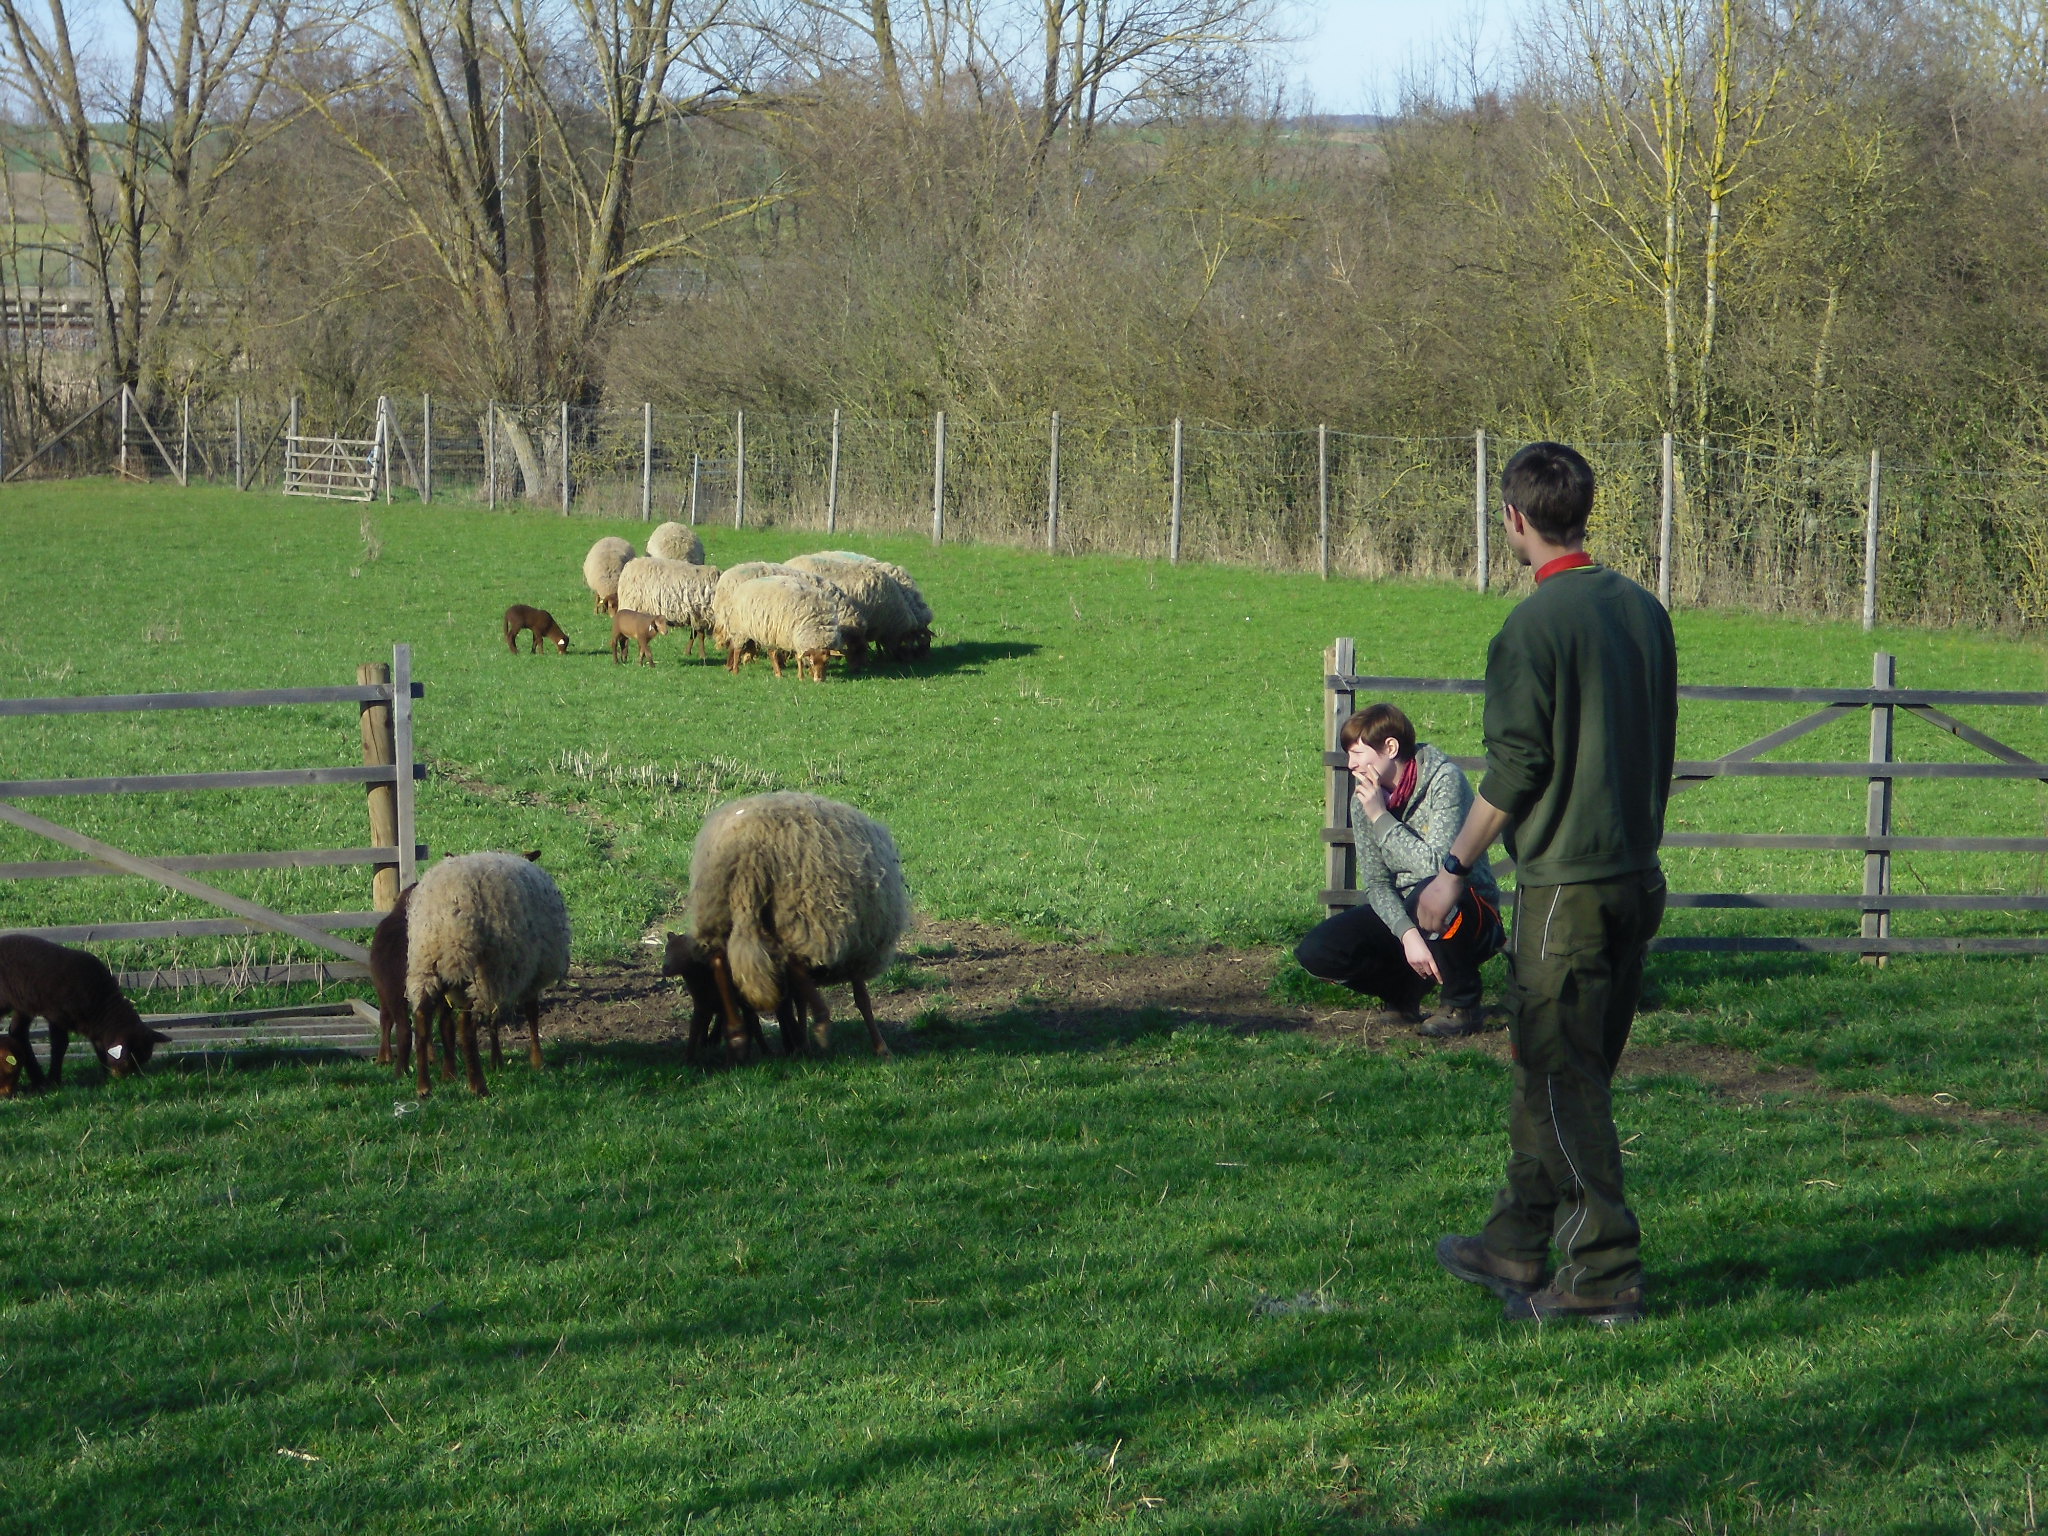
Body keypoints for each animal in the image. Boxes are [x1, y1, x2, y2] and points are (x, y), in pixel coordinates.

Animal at [0, 934, 170, 1088]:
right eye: (130, 1058)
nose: (124, 1078)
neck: (100, 1004)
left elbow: (100, 1046)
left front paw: (106, 1076)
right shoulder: (57, 1015)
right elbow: (60, 1045)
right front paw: (54, 1080)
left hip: (23, 1003)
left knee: (17, 1032)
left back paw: (38, 1080)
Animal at [402, 852, 570, 1097]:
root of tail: (447, 921)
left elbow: (485, 1020)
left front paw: (495, 1061)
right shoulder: (530, 975)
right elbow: (531, 1015)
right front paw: (537, 1061)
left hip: (428, 968)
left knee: (423, 1021)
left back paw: (424, 1087)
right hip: (485, 972)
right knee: (466, 1029)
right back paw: (478, 1086)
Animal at [668, 792, 907, 1063]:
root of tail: (749, 853)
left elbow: (796, 999)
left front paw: (797, 1039)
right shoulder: (858, 948)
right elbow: (861, 999)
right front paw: (880, 1047)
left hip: (717, 906)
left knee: (721, 958)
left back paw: (738, 1037)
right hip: (799, 913)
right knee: (791, 959)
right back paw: (821, 1022)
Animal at [711, 572, 866, 680]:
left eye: (826, 662)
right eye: (812, 661)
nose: (819, 680)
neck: (817, 626)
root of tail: (743, 585)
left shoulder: (795, 639)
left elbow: (799, 657)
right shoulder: (794, 636)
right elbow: (799, 658)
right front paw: (802, 676)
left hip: (770, 632)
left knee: (771, 653)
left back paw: (778, 673)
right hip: (740, 630)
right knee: (737, 649)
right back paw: (736, 670)